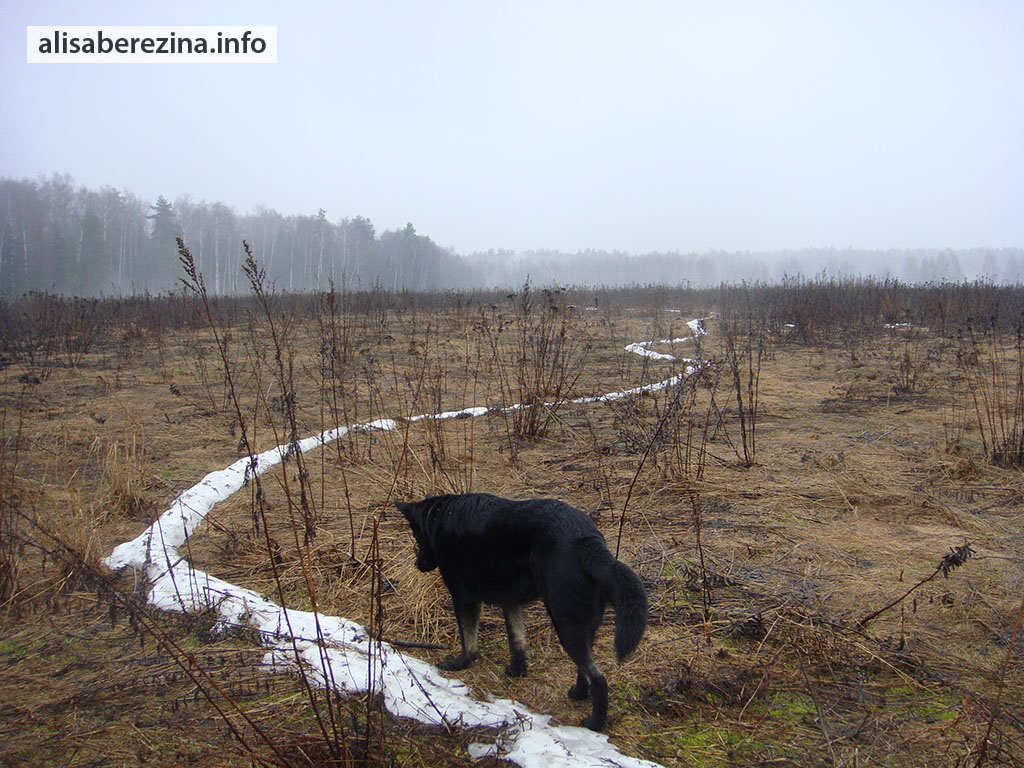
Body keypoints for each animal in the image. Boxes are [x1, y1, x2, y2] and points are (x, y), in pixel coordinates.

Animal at [395, 495, 643, 729]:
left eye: (416, 535)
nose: (419, 565)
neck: (439, 515)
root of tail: (588, 542)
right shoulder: (510, 601)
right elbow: (517, 641)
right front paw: (518, 671)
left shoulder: (464, 599)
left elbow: (469, 641)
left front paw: (460, 663)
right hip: (581, 624)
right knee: (584, 669)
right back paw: (578, 694)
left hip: (565, 623)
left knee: (598, 679)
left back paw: (595, 723)